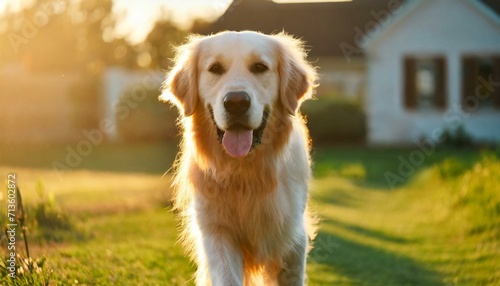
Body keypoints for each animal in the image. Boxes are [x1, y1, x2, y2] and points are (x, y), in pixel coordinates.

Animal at [162, 30, 318, 284]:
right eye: (215, 68)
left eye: (259, 67)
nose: (236, 102)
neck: (245, 171)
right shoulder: (217, 231)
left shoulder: (292, 238)